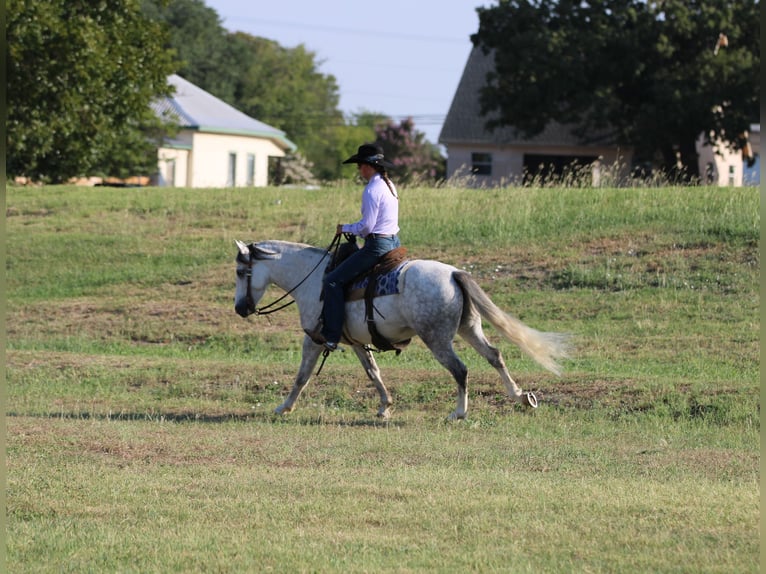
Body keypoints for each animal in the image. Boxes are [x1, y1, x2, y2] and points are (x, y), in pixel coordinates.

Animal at [234, 240, 568, 424]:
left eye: (240, 271)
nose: (240, 308)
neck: (315, 279)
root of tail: (453, 273)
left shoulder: (315, 338)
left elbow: (302, 375)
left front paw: (283, 407)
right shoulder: (356, 342)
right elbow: (373, 372)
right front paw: (385, 407)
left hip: (437, 338)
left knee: (460, 369)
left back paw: (458, 413)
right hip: (469, 328)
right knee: (495, 356)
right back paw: (520, 397)